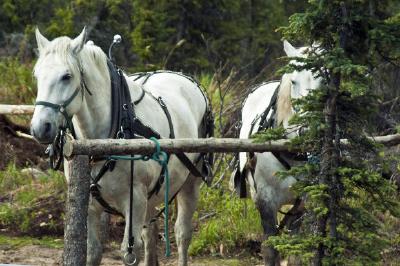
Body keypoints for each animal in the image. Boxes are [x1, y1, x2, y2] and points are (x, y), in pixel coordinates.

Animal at [29, 28, 211, 264]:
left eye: (67, 76)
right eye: (37, 75)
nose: (40, 128)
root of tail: (181, 77)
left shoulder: (135, 200)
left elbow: (129, 251)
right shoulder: (90, 205)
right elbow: (93, 251)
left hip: (190, 183)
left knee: (182, 234)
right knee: (150, 234)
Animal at [234, 40, 322, 264]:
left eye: (324, 80)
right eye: (294, 81)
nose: (306, 129)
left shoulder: (303, 203)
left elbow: (295, 250)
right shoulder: (265, 200)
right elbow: (271, 249)